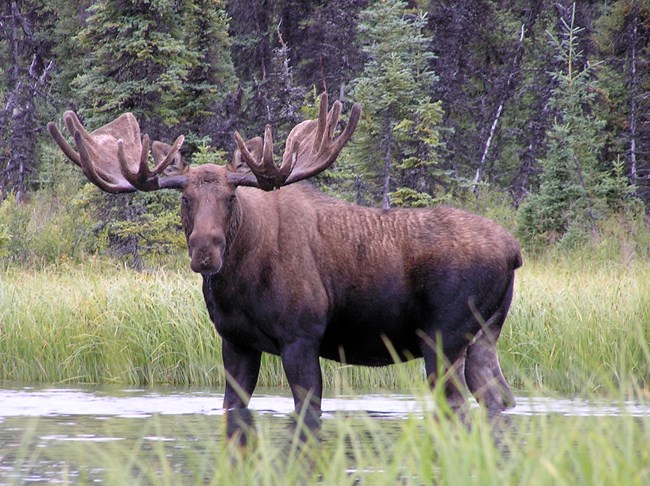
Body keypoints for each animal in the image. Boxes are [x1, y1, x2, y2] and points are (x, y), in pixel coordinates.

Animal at [48, 93, 521, 439]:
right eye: (185, 199)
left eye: (230, 198)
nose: (205, 252)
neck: (238, 285)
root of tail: (513, 250)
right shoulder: (236, 342)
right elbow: (232, 408)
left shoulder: (301, 337)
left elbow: (307, 415)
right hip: (485, 334)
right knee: (499, 398)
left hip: (443, 336)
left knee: (458, 405)